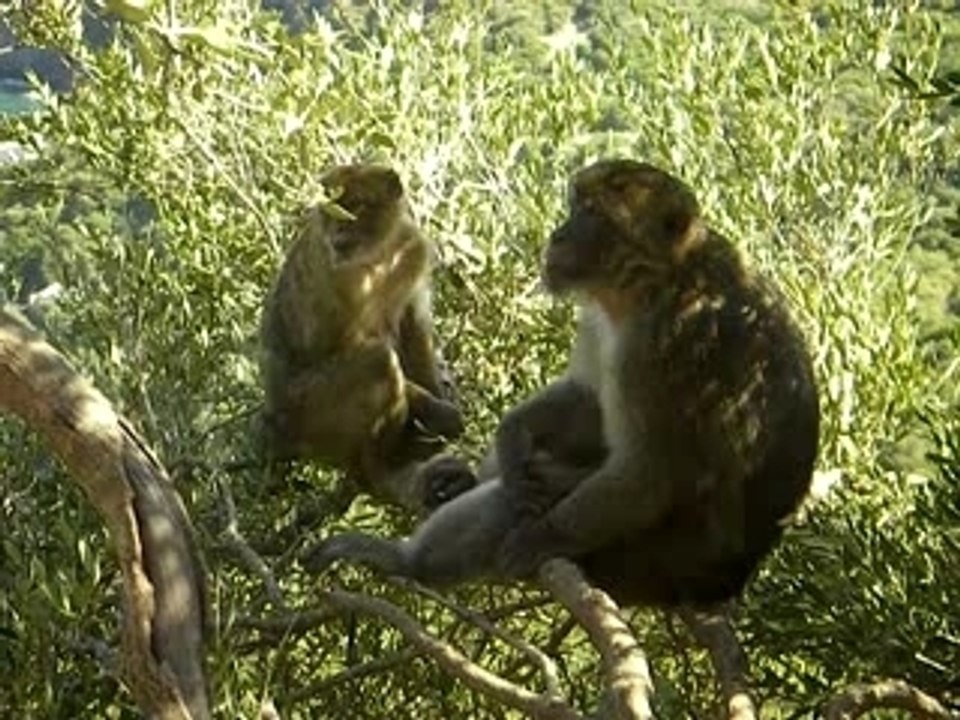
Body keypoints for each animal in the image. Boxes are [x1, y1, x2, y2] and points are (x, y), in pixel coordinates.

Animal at [258, 163, 465, 508]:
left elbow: (413, 326)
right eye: (331, 210)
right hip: (308, 415)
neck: (380, 255)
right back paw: (379, 468)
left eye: (355, 205)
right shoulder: (340, 273)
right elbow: (350, 345)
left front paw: (441, 400)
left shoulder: (412, 249)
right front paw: (439, 412)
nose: (338, 230)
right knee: (377, 360)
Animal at [304, 159, 820, 609]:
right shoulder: (600, 318)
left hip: (649, 564)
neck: (649, 286)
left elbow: (650, 471)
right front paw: (513, 433)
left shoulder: (668, 344)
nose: (558, 234)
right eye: (576, 205)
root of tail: (727, 584)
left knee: (517, 503)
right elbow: (587, 396)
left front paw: (544, 535)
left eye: (591, 213)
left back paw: (407, 563)